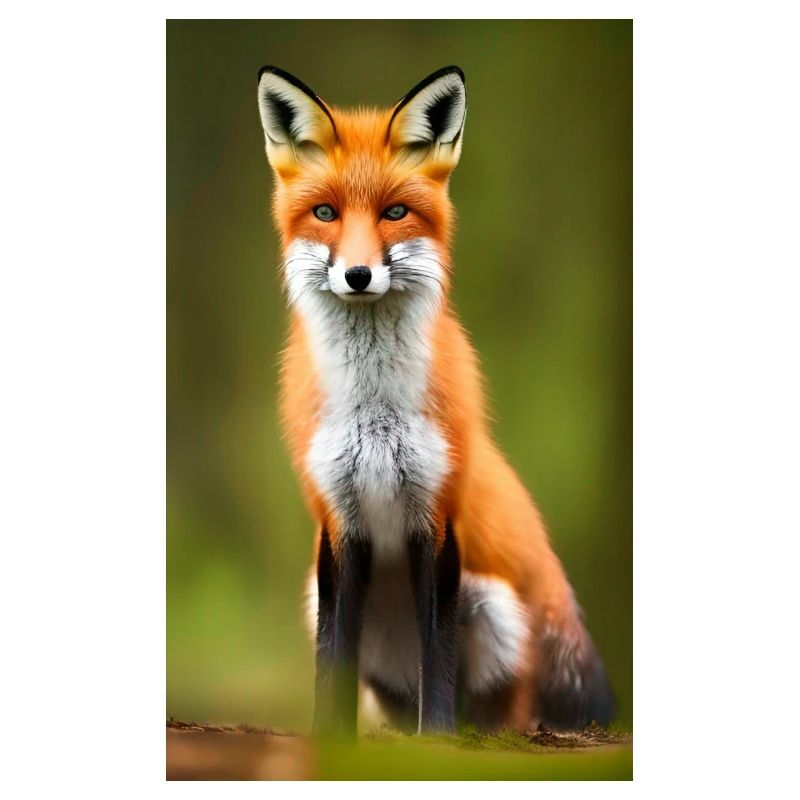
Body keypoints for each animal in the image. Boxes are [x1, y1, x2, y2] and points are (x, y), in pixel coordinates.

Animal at [256, 65, 615, 735]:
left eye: (395, 212)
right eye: (325, 213)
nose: (359, 275)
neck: (374, 412)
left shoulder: (437, 514)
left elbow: (438, 650)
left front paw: (439, 738)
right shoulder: (337, 520)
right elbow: (331, 656)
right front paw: (332, 737)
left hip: (495, 607)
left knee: (506, 709)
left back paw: (481, 731)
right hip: (325, 596)